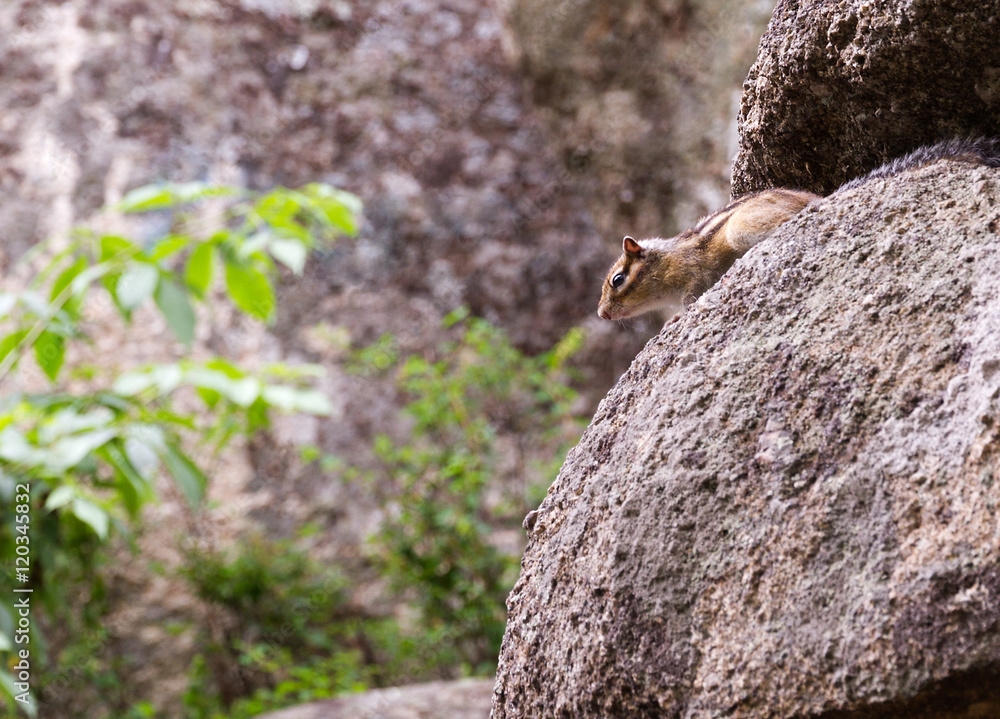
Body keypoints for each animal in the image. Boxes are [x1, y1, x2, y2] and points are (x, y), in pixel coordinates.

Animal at [598, 137, 1000, 322]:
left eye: (618, 279)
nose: (602, 314)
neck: (666, 260)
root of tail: (823, 197)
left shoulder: (693, 273)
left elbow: (693, 294)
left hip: (744, 229)